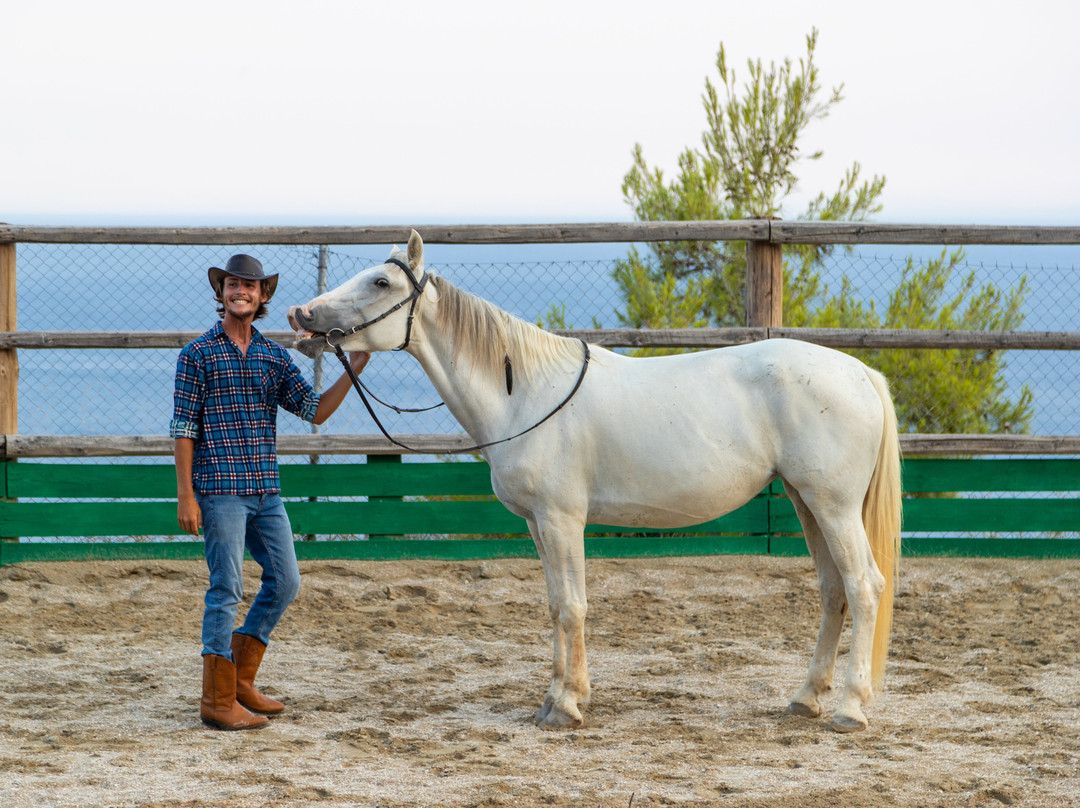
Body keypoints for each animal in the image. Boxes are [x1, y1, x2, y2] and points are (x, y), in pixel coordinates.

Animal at [287, 230, 902, 734]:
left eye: (381, 281)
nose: (301, 315)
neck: (522, 391)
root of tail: (860, 372)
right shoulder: (539, 524)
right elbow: (554, 604)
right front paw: (558, 697)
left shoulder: (562, 519)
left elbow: (572, 606)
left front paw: (565, 707)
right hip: (806, 502)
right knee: (832, 591)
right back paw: (805, 698)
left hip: (833, 506)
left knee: (864, 586)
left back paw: (849, 708)